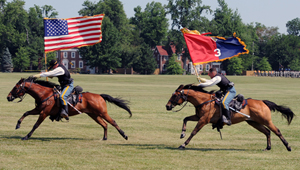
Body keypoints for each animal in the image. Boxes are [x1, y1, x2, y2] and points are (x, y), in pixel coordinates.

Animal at [166, 84, 296, 151]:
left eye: (175, 95)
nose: (167, 106)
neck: (204, 101)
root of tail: (263, 102)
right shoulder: (198, 117)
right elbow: (185, 119)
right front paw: (182, 133)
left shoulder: (203, 120)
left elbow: (194, 132)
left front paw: (183, 144)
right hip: (254, 122)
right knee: (267, 132)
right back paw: (268, 147)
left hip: (266, 120)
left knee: (277, 131)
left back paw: (288, 147)